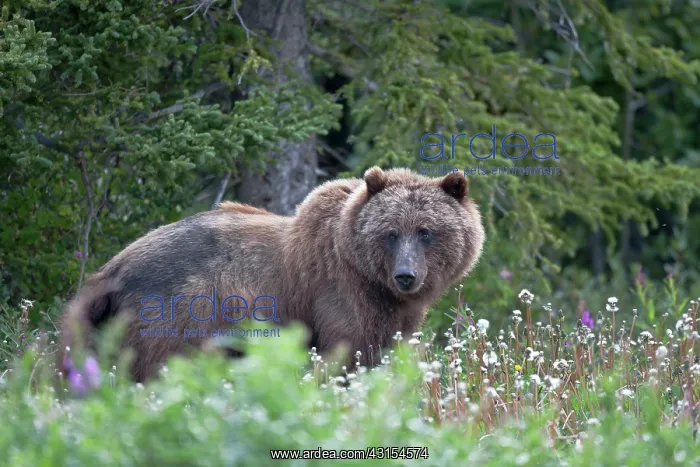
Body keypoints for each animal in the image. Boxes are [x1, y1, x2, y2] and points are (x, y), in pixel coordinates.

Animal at [57, 167, 485, 382]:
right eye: (391, 232)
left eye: (426, 231)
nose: (406, 276)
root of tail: (111, 269)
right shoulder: (338, 295)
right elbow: (347, 352)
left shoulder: (395, 314)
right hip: (175, 313)